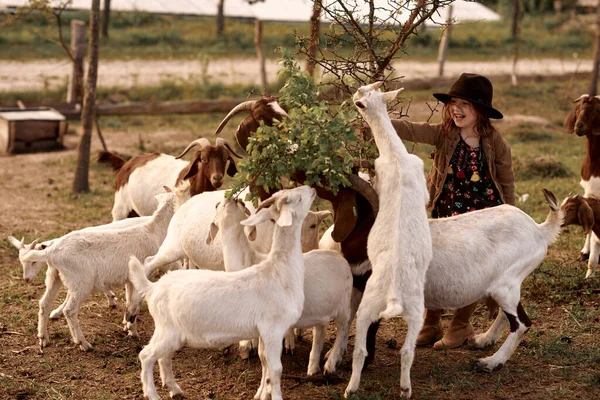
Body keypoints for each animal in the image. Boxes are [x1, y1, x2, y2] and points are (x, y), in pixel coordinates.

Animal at [11, 191, 176, 350]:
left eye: (33, 262)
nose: (26, 279)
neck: (153, 229)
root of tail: (51, 251)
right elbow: (135, 303)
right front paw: (132, 329)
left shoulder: (130, 279)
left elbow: (131, 302)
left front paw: (130, 328)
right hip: (81, 282)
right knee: (69, 311)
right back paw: (83, 343)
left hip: (54, 276)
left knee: (44, 304)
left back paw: (43, 338)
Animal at [209, 198, 354, 376]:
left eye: (226, 205)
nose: (234, 199)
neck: (247, 260)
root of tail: (341, 259)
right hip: (322, 307)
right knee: (320, 332)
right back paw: (313, 367)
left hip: (343, 305)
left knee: (343, 328)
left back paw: (331, 363)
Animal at [346, 83, 432, 398]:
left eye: (359, 100)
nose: (352, 95)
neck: (396, 155)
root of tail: (394, 296)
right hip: (416, 311)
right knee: (407, 352)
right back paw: (405, 389)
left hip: (368, 306)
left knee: (360, 350)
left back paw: (350, 389)